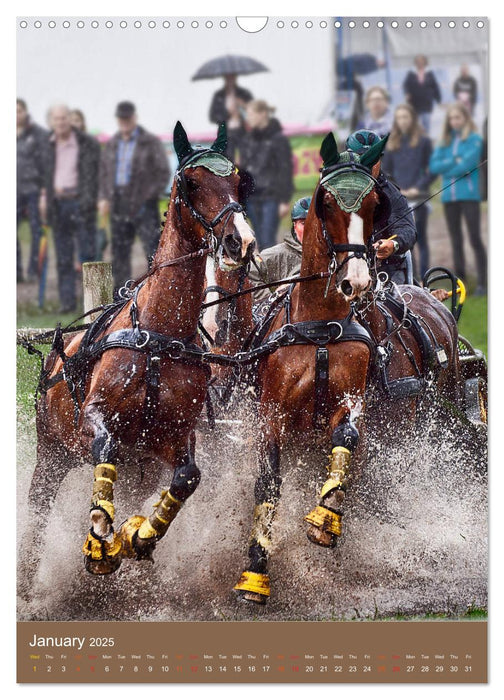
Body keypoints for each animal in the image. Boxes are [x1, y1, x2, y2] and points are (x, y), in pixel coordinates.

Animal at [25, 121, 256, 580]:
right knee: (39, 508)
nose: (240, 241)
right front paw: (100, 541)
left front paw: (139, 537)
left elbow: (188, 476)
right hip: (51, 454)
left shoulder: (173, 437)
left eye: (239, 181)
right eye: (191, 182)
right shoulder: (95, 419)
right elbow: (106, 448)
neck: (156, 337)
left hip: (138, 472)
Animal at [233, 134, 460, 604]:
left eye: (374, 205)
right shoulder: (271, 414)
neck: (321, 327)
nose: (356, 281)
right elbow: (268, 483)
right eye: (326, 201)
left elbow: (347, 441)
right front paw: (255, 574)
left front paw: (325, 519)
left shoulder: (353, 400)